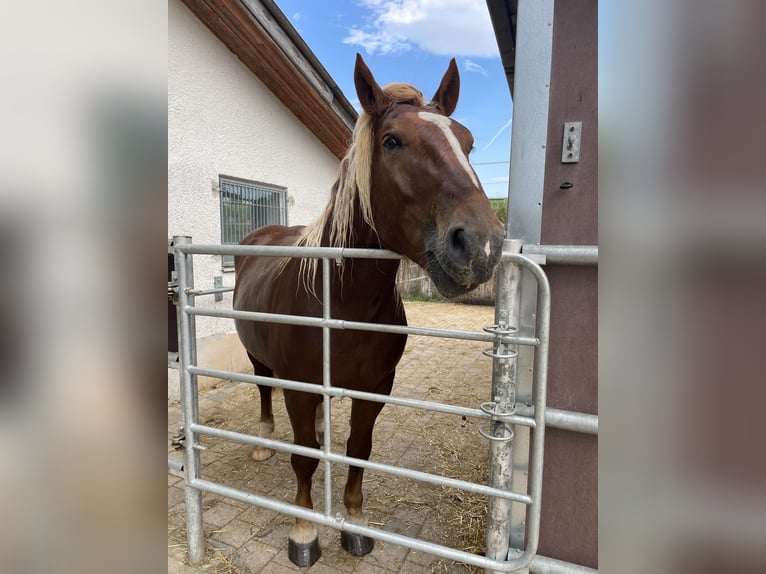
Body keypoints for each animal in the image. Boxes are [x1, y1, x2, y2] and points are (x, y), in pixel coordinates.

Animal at [232, 54, 504, 568]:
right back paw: (263, 439)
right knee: (263, 388)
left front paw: (354, 524)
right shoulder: (299, 388)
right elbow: (303, 456)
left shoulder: (376, 388)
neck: (344, 302)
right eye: (392, 141)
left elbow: (359, 449)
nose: (481, 245)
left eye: (468, 143)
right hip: (259, 358)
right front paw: (304, 532)